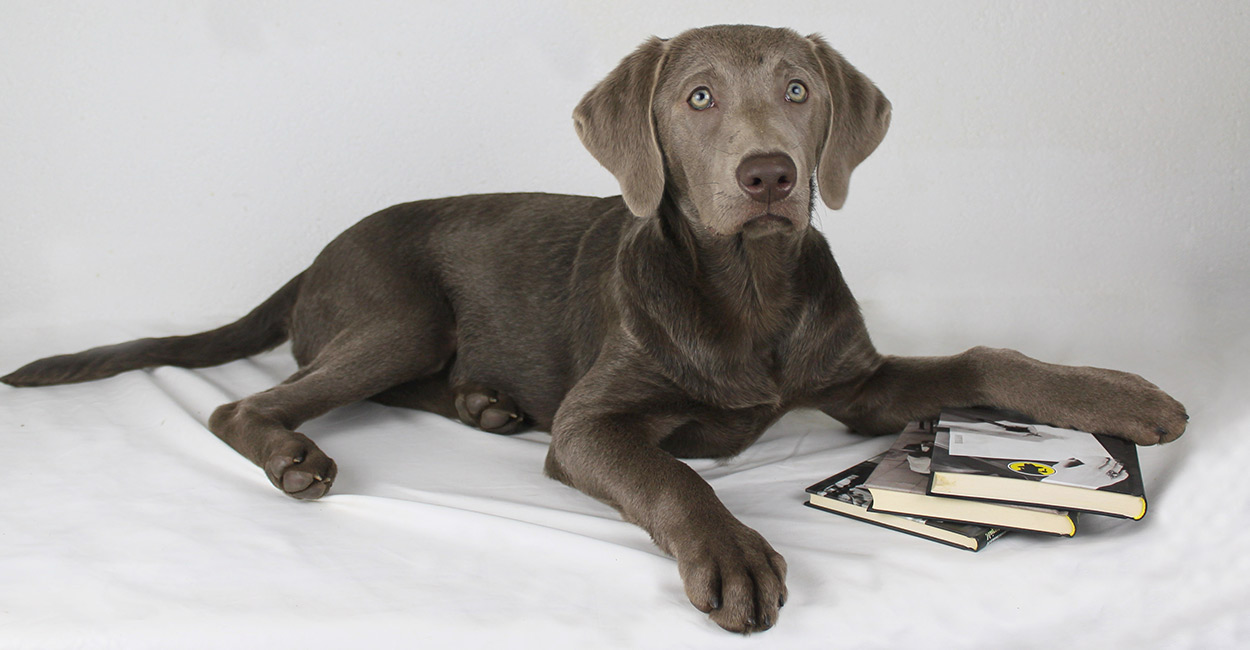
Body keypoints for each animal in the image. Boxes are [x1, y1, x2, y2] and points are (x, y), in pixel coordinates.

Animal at [4, 26, 1185, 635]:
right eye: (698, 98)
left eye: (798, 89)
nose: (771, 175)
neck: (746, 290)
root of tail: (316, 254)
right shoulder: (595, 423)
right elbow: (674, 476)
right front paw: (732, 553)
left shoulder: (855, 384)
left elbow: (987, 356)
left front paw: (1122, 395)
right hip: (400, 309)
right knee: (251, 401)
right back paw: (299, 452)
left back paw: (484, 401)